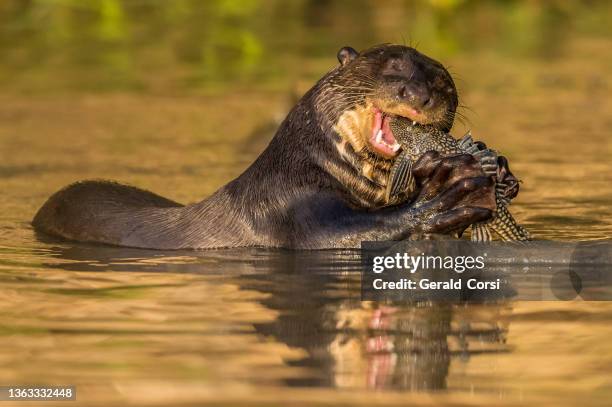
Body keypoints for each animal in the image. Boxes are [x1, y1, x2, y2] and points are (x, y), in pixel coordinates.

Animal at [31, 43, 502, 249]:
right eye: (394, 70)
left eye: (444, 85)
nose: (421, 97)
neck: (306, 167)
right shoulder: (288, 206)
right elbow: (348, 234)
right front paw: (443, 198)